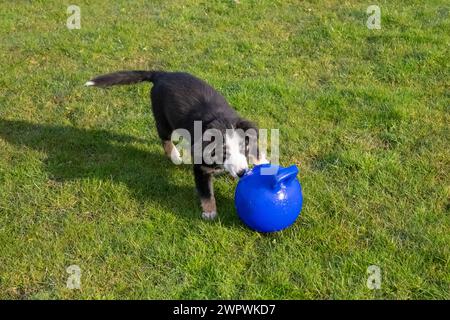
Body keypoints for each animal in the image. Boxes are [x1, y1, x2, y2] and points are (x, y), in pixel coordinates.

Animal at [86, 70, 266, 220]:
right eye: (223, 153)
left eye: (243, 148)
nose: (243, 173)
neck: (219, 121)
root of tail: (161, 74)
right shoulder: (201, 168)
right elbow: (206, 192)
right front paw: (210, 212)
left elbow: (256, 152)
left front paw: (263, 165)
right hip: (162, 119)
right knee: (165, 139)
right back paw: (175, 155)